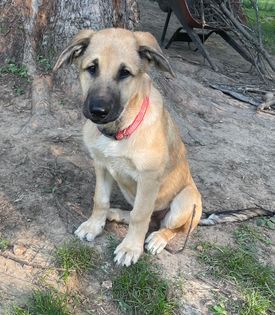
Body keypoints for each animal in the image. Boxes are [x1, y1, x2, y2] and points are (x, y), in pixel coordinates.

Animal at [53, 29, 203, 266]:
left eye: (125, 73)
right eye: (92, 68)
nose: (98, 111)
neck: (119, 132)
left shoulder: (148, 178)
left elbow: (140, 216)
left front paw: (130, 247)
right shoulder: (102, 165)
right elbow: (100, 200)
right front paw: (94, 225)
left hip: (185, 201)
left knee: (169, 227)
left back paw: (158, 239)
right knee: (142, 215)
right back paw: (115, 214)